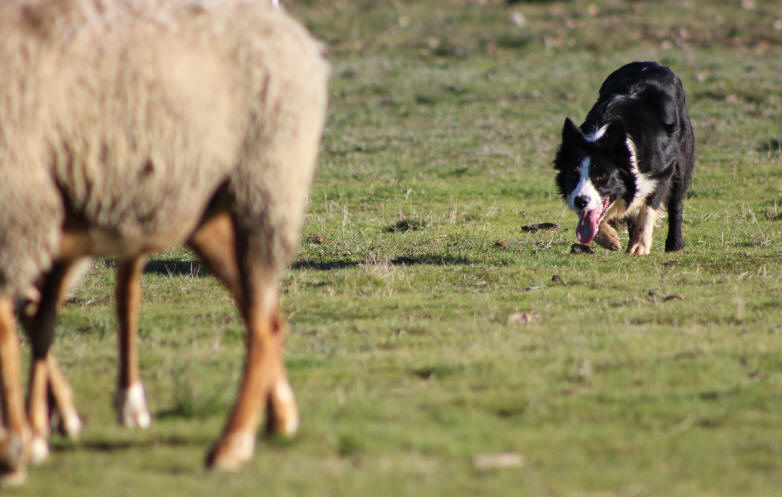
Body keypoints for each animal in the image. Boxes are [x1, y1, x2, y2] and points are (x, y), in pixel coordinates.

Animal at [0, 0, 330, 480]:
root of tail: (298, 35)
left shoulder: (25, 210)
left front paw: (19, 444)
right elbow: (32, 320)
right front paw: (30, 435)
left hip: (265, 186)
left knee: (261, 322)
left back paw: (230, 443)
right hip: (193, 206)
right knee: (264, 314)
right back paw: (276, 418)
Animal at [556, 62, 696, 254]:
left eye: (602, 176)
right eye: (573, 175)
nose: (581, 201)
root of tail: (651, 63)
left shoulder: (663, 170)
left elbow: (649, 206)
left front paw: (639, 246)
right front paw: (609, 238)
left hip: (683, 158)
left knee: (676, 202)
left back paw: (674, 244)